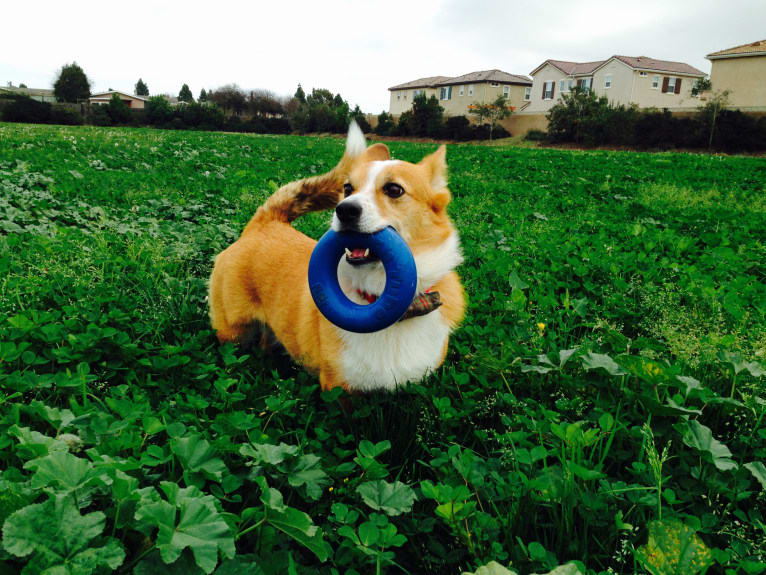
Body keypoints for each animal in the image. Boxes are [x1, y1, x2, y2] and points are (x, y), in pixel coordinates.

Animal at [207, 121, 464, 392]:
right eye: (348, 188)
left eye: (394, 189)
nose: (344, 210)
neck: (383, 306)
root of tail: (265, 221)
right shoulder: (338, 386)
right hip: (233, 332)